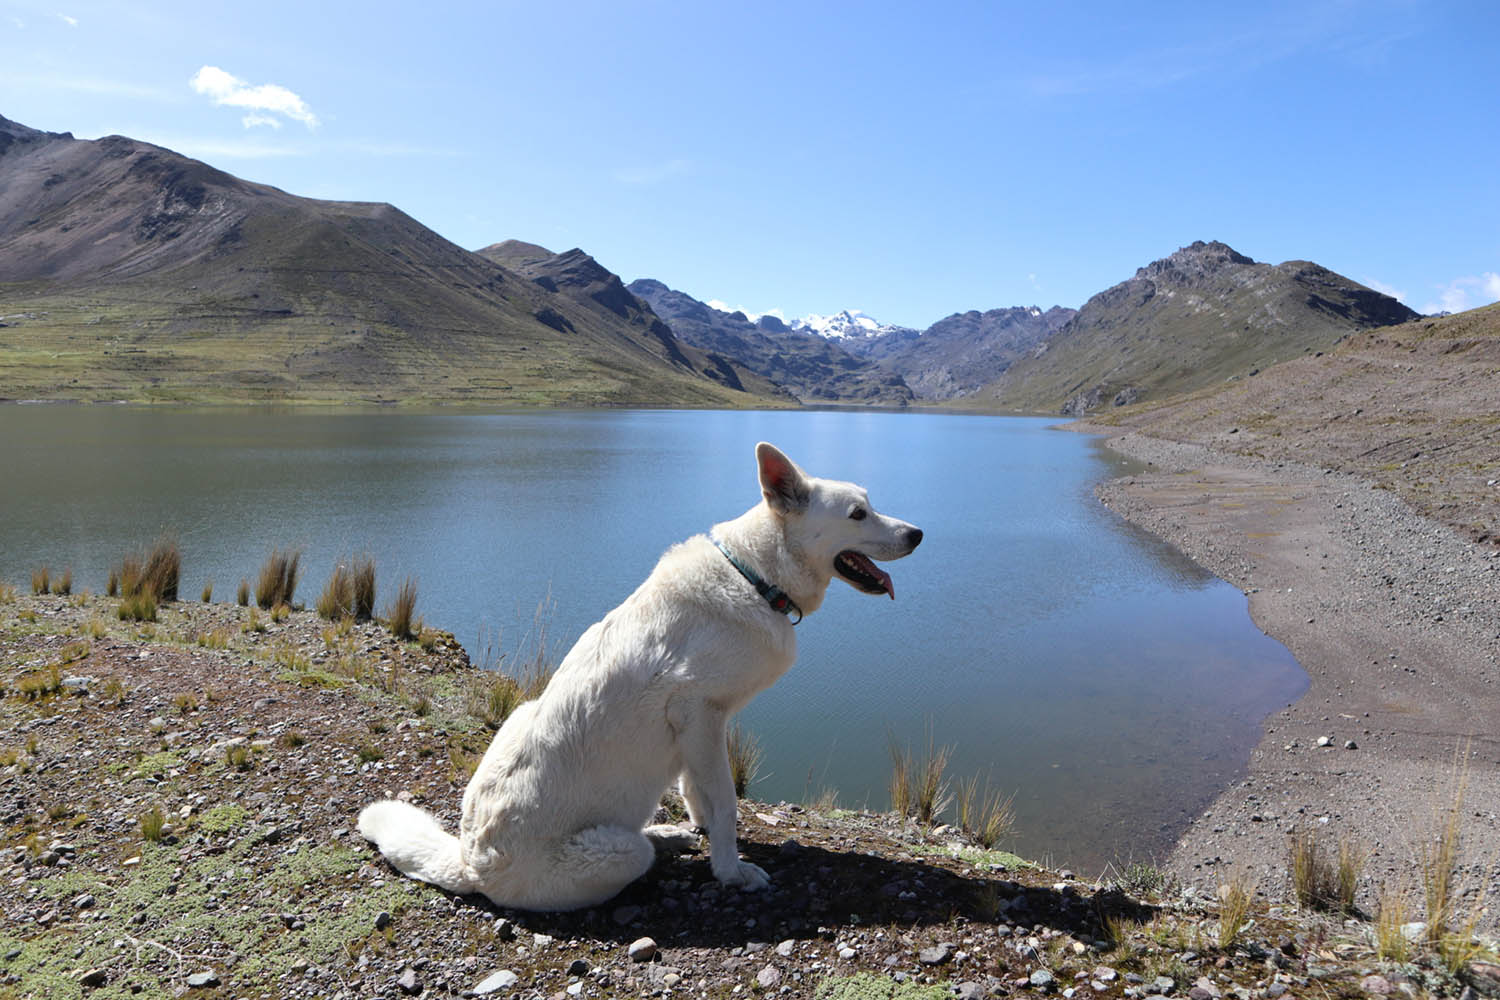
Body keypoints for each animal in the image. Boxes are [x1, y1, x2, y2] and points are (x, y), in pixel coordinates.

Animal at [360, 440, 924, 911]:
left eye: (869, 503)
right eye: (857, 514)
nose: (918, 533)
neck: (756, 577)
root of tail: (470, 862)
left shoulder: (701, 726)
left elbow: (700, 791)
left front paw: (702, 831)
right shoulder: (699, 713)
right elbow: (726, 803)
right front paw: (731, 871)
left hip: (523, 713)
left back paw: (669, 836)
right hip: (613, 854)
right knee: (635, 855)